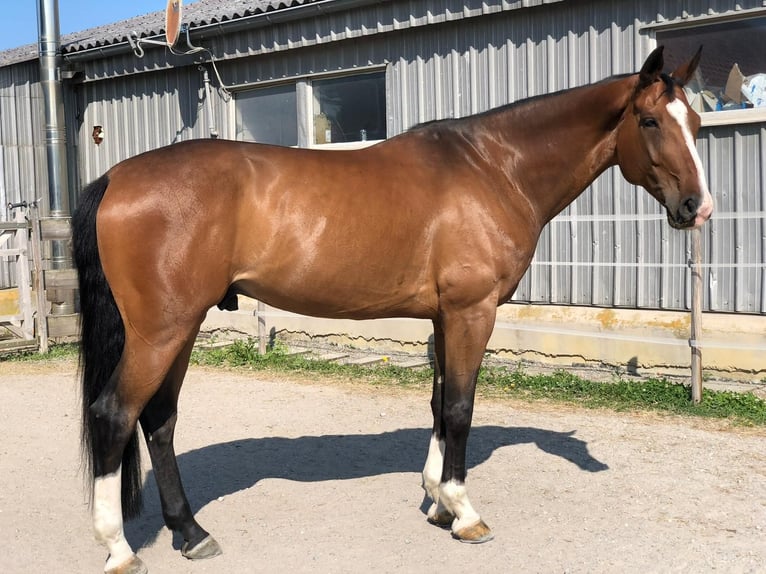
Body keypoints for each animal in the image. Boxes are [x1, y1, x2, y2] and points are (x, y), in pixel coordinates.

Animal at [72, 46, 712, 574]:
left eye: (698, 123)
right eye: (650, 121)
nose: (698, 207)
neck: (493, 168)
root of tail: (115, 176)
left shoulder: (444, 317)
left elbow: (438, 402)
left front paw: (437, 502)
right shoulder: (472, 312)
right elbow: (459, 407)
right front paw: (465, 512)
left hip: (180, 328)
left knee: (159, 420)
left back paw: (191, 532)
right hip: (161, 331)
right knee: (114, 414)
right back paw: (120, 548)